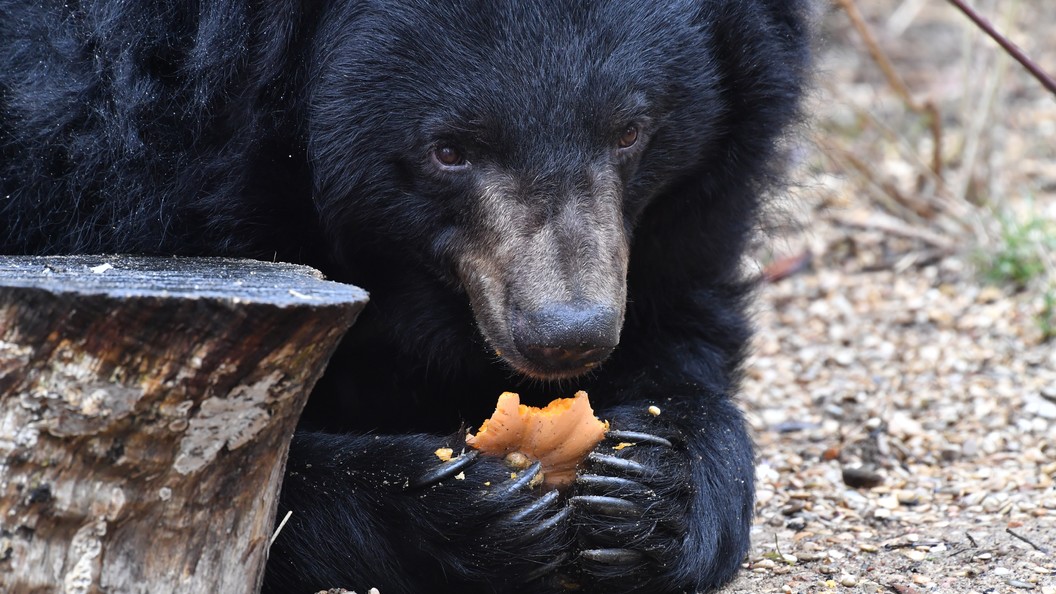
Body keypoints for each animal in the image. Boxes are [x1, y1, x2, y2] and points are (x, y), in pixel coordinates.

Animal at [2, 1, 806, 591]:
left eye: (630, 132)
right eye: (449, 150)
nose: (566, 334)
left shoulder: (684, 223)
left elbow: (682, 339)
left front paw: (649, 489)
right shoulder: (101, 174)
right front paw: (467, 505)